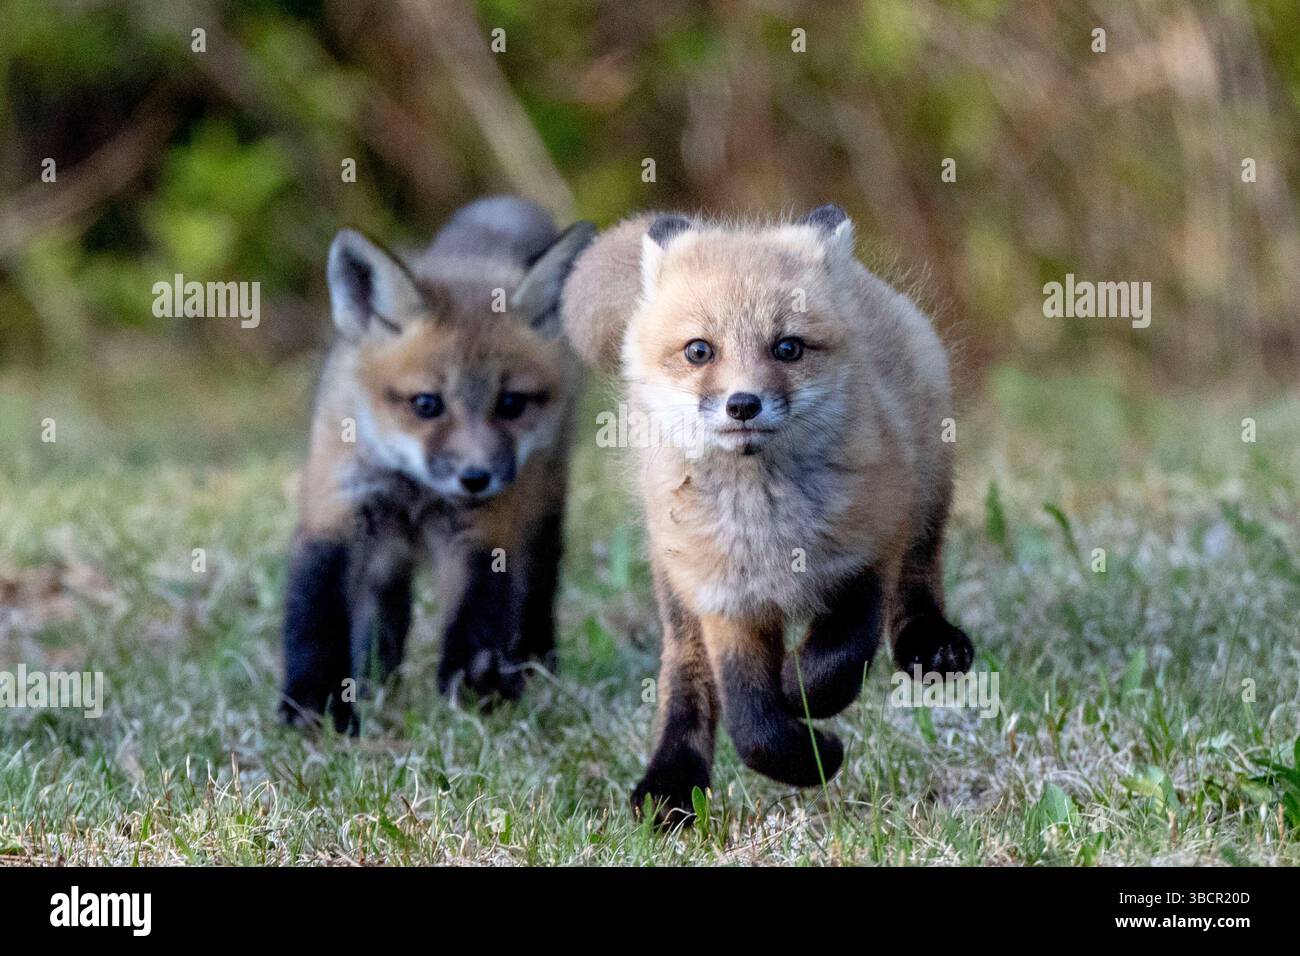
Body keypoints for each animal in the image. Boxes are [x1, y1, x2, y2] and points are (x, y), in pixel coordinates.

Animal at [279, 197, 594, 733]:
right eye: (426, 404)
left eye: (511, 404)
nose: (476, 477)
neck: (416, 490)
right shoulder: (338, 508)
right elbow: (315, 615)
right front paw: (315, 707)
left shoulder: (484, 531)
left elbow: (478, 617)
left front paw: (473, 695)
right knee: (386, 607)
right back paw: (376, 678)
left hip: (543, 501)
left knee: (539, 582)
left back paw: (533, 666)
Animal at [560, 204, 973, 823]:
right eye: (699, 351)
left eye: (788, 348)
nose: (743, 404)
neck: (766, 525)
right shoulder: (727, 600)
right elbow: (752, 724)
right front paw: (812, 756)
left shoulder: (869, 552)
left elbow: (837, 657)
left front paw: (801, 692)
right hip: (676, 582)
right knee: (685, 677)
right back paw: (671, 783)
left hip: (927, 490)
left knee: (920, 574)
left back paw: (929, 642)